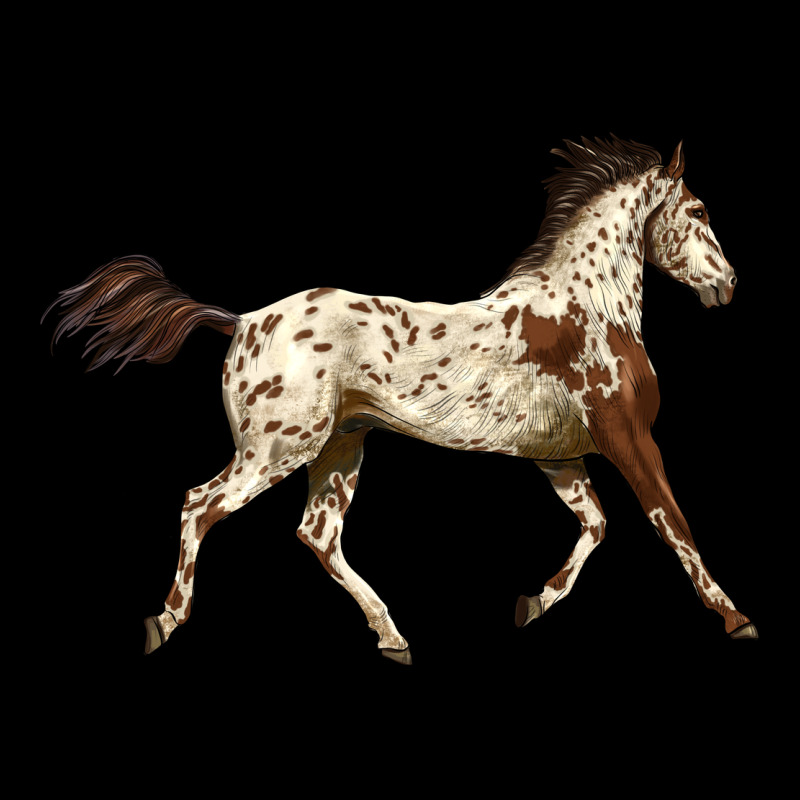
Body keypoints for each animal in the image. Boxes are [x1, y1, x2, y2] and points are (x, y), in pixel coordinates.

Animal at [43, 135, 758, 664]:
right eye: (698, 211)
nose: (727, 284)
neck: (586, 309)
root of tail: (240, 320)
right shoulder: (629, 441)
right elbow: (674, 526)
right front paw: (736, 618)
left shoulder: (559, 457)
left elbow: (597, 527)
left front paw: (532, 604)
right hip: (276, 448)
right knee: (200, 506)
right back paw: (165, 621)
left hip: (339, 449)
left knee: (317, 534)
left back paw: (392, 636)